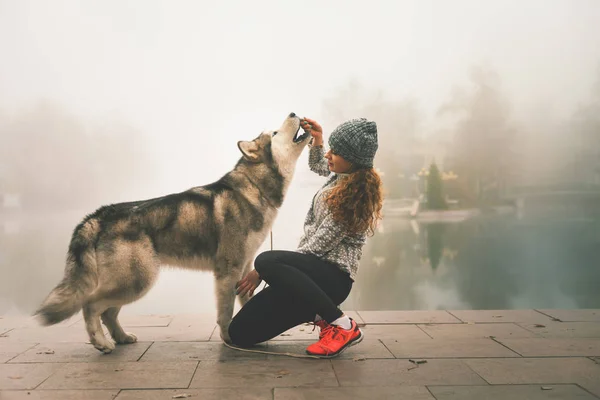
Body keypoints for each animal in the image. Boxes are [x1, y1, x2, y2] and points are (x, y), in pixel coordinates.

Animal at [34, 111, 310, 352]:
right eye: (275, 133)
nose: (293, 112)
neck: (254, 187)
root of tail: (99, 215)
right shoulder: (227, 270)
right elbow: (226, 312)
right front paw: (229, 338)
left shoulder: (244, 269)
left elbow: (245, 303)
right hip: (137, 281)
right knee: (91, 305)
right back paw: (101, 343)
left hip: (131, 282)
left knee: (109, 313)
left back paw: (121, 338)